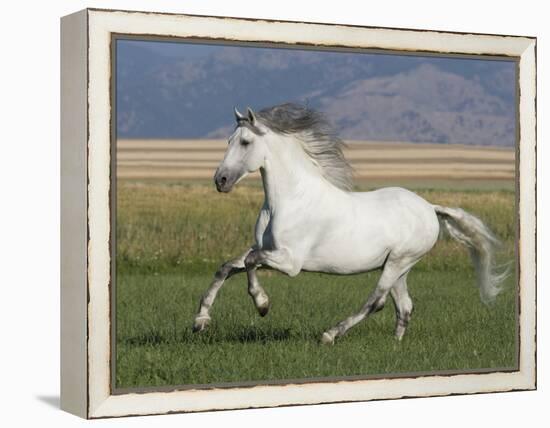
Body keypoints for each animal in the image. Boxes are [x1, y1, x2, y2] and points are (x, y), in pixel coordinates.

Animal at [193, 103, 508, 344]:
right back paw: (395, 346)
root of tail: (430, 208)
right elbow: (226, 267)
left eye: (245, 142)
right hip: (399, 266)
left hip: (399, 261)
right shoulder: (263, 249)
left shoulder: (289, 262)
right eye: (228, 141)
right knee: (404, 306)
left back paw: (330, 335)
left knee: (377, 301)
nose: (220, 180)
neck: (289, 200)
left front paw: (262, 305)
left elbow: (249, 264)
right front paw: (200, 322)